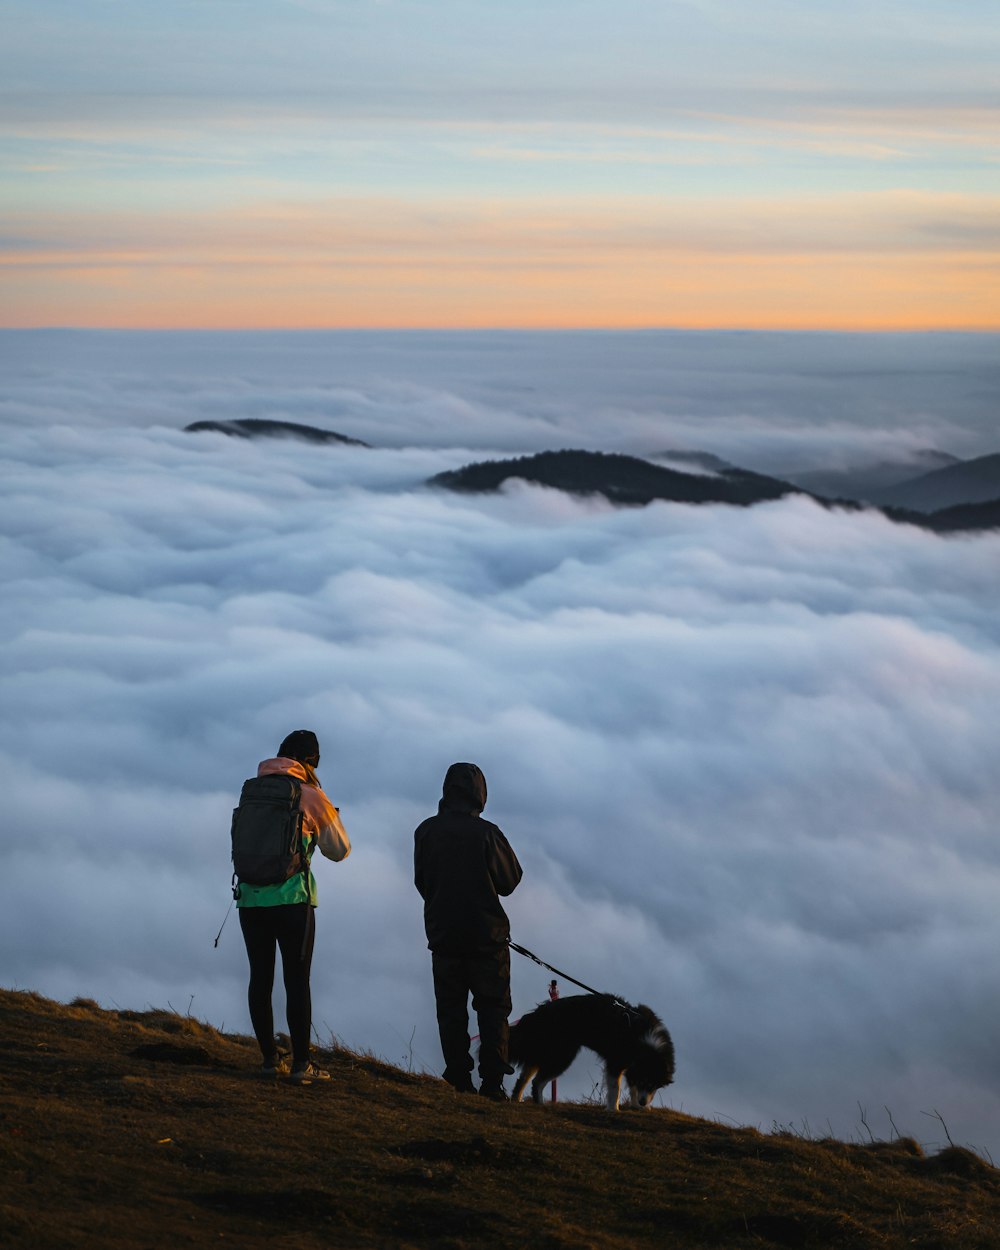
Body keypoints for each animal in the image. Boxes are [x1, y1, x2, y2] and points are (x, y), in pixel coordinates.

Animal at [512, 995, 675, 1115]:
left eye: (653, 1085)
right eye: (644, 1082)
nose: (643, 1102)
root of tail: (539, 1012)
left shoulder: (631, 1066)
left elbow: (632, 1087)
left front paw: (637, 1105)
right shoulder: (615, 1062)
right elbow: (615, 1088)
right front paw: (613, 1109)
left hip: (542, 1051)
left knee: (523, 1077)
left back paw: (516, 1098)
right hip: (562, 1056)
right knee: (537, 1081)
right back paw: (540, 1103)